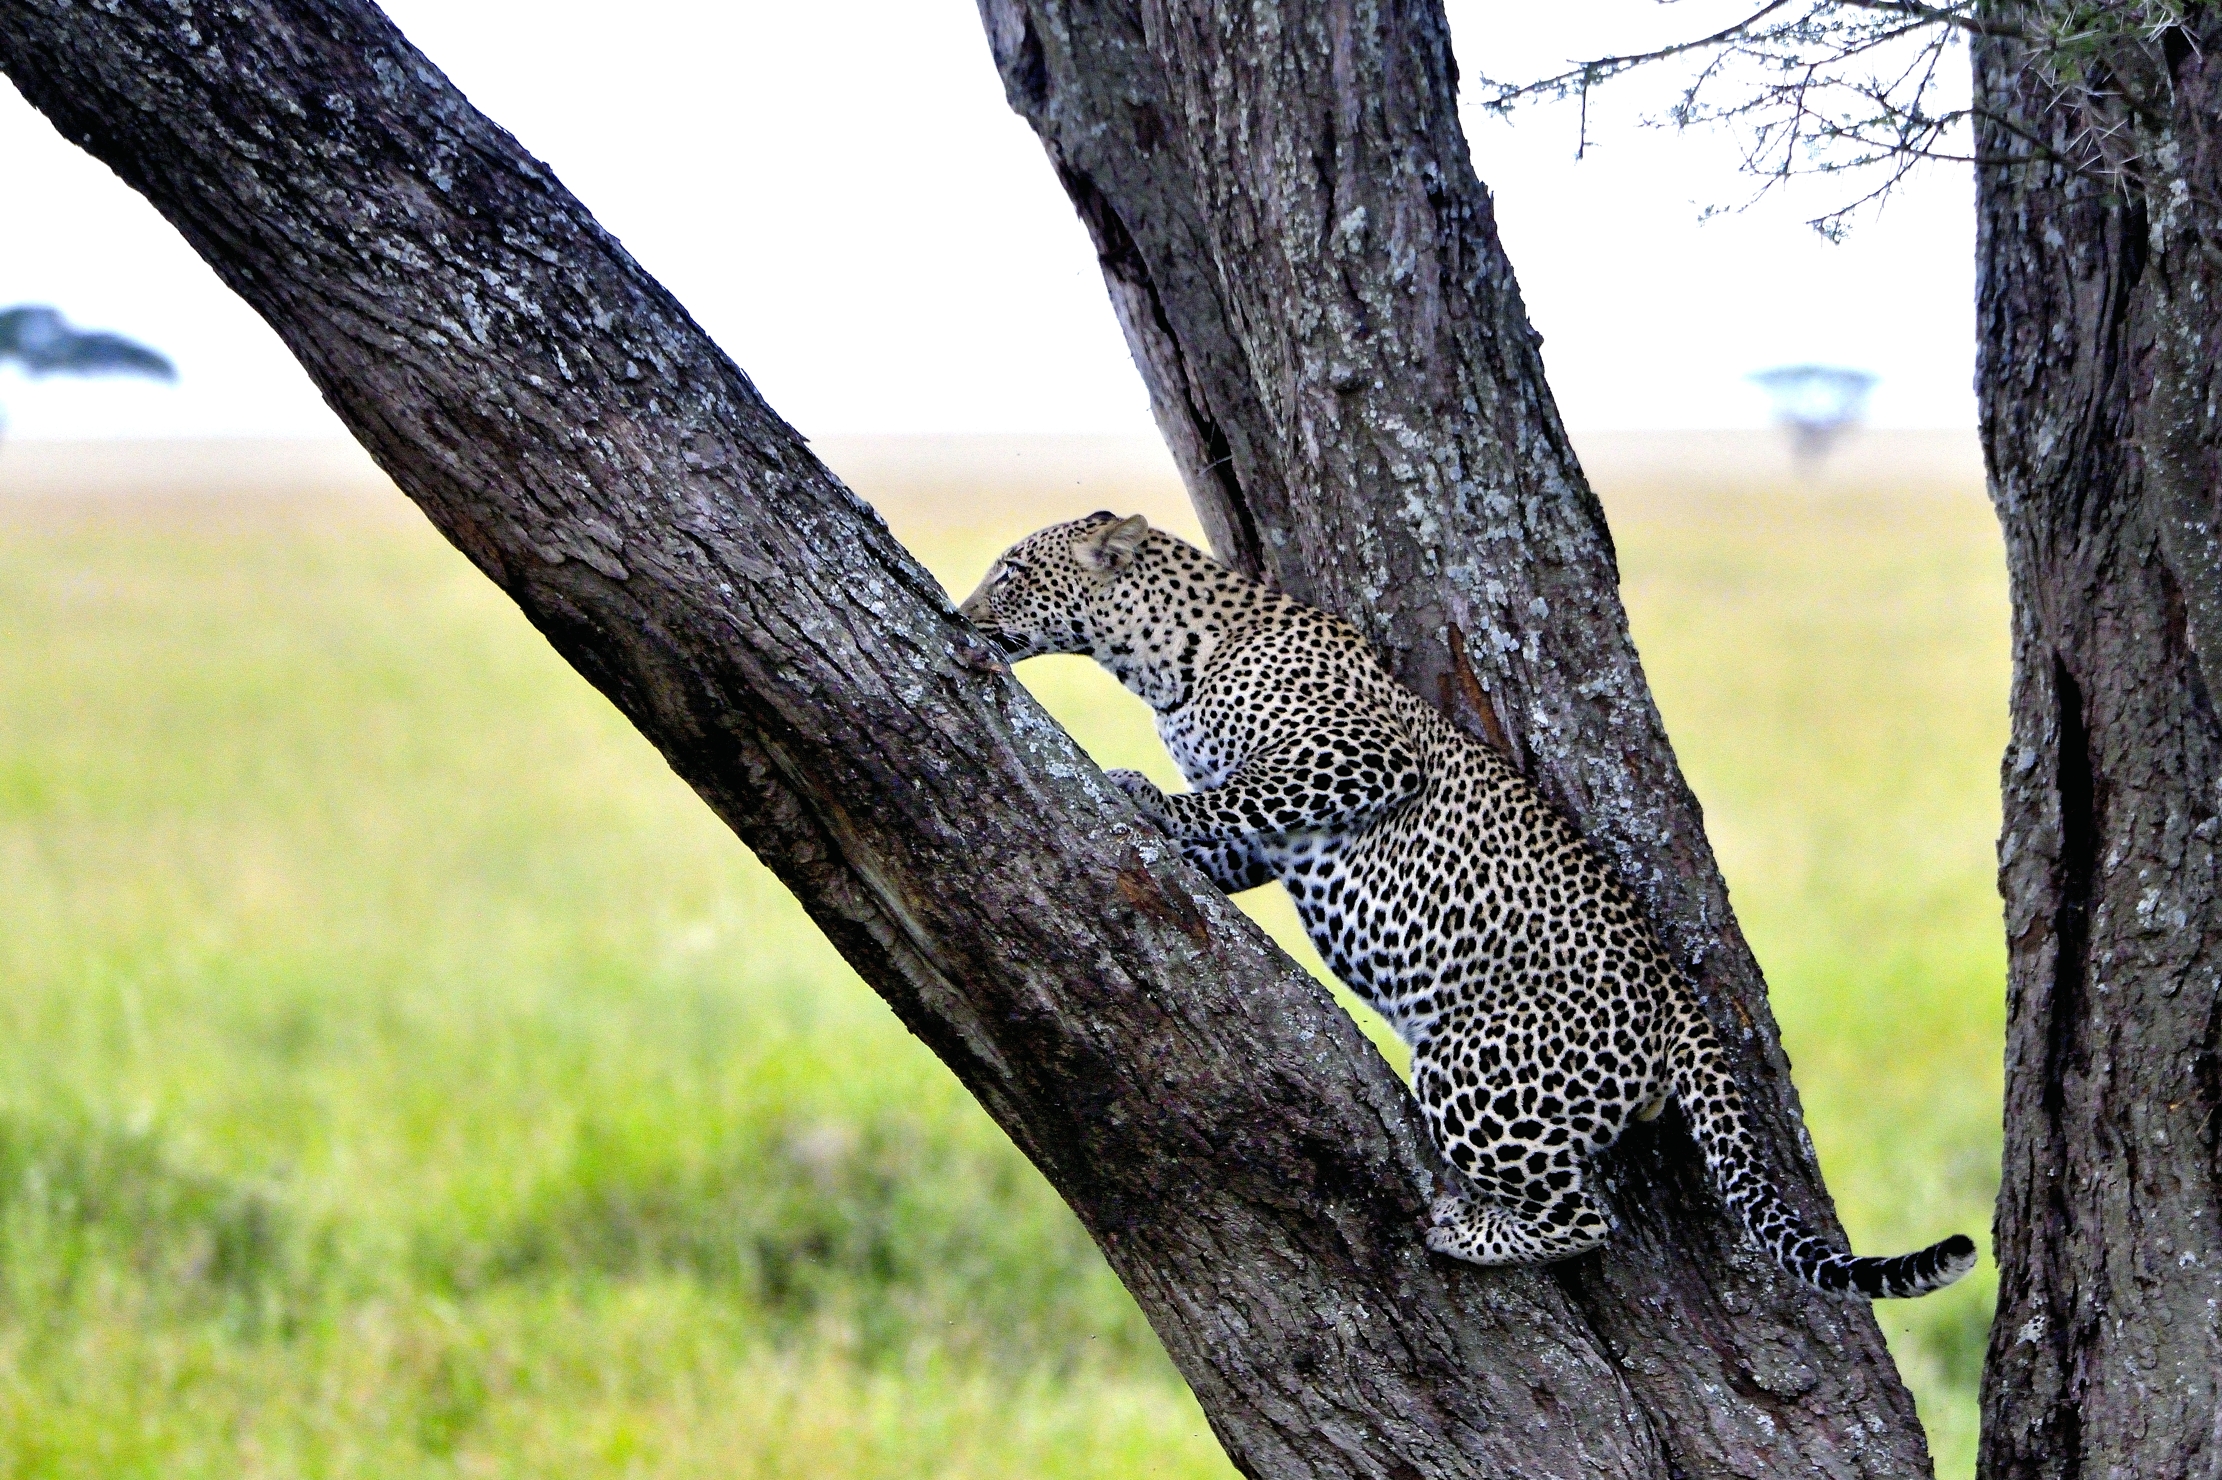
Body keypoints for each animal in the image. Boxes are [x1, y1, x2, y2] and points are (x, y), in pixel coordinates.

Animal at [958, 511, 1976, 1299]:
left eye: (1010, 572)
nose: (961, 616)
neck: (1169, 663)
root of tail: (1677, 1001)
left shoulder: (1359, 755)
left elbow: (1235, 794)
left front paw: (1141, 794)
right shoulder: (1269, 838)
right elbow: (1230, 823)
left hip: (1473, 1065)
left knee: (1585, 1217)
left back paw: (1467, 1232)